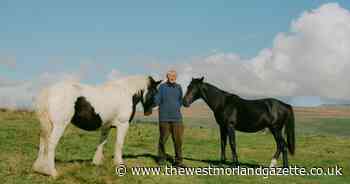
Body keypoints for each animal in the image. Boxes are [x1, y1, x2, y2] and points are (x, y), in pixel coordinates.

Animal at [32, 75, 161, 177]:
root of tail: (49, 91)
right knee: (51, 145)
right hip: (59, 126)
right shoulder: (123, 125)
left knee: (43, 142)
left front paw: (96, 163)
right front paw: (119, 164)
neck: (126, 91)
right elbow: (119, 144)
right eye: (154, 91)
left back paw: (39, 169)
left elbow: (101, 143)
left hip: (47, 125)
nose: (150, 111)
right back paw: (52, 172)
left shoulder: (106, 126)